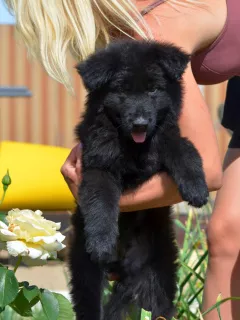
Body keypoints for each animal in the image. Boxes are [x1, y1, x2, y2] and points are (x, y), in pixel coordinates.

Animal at [68, 40, 209, 320]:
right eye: (122, 91)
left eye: (153, 89)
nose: (140, 124)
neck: (134, 147)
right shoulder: (98, 167)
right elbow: (101, 202)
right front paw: (101, 241)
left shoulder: (166, 136)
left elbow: (184, 149)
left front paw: (197, 188)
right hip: (86, 272)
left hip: (156, 280)